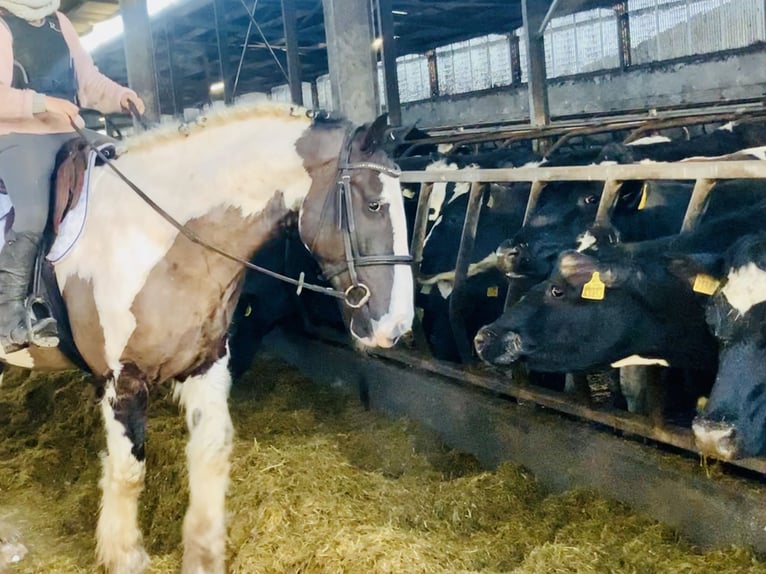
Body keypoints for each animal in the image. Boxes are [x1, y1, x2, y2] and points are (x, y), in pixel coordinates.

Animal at [0, 104, 416, 574]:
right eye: (374, 204)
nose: (397, 326)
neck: (158, 240)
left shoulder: (206, 364)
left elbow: (210, 453)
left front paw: (204, 552)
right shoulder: (122, 381)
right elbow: (128, 473)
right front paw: (125, 555)